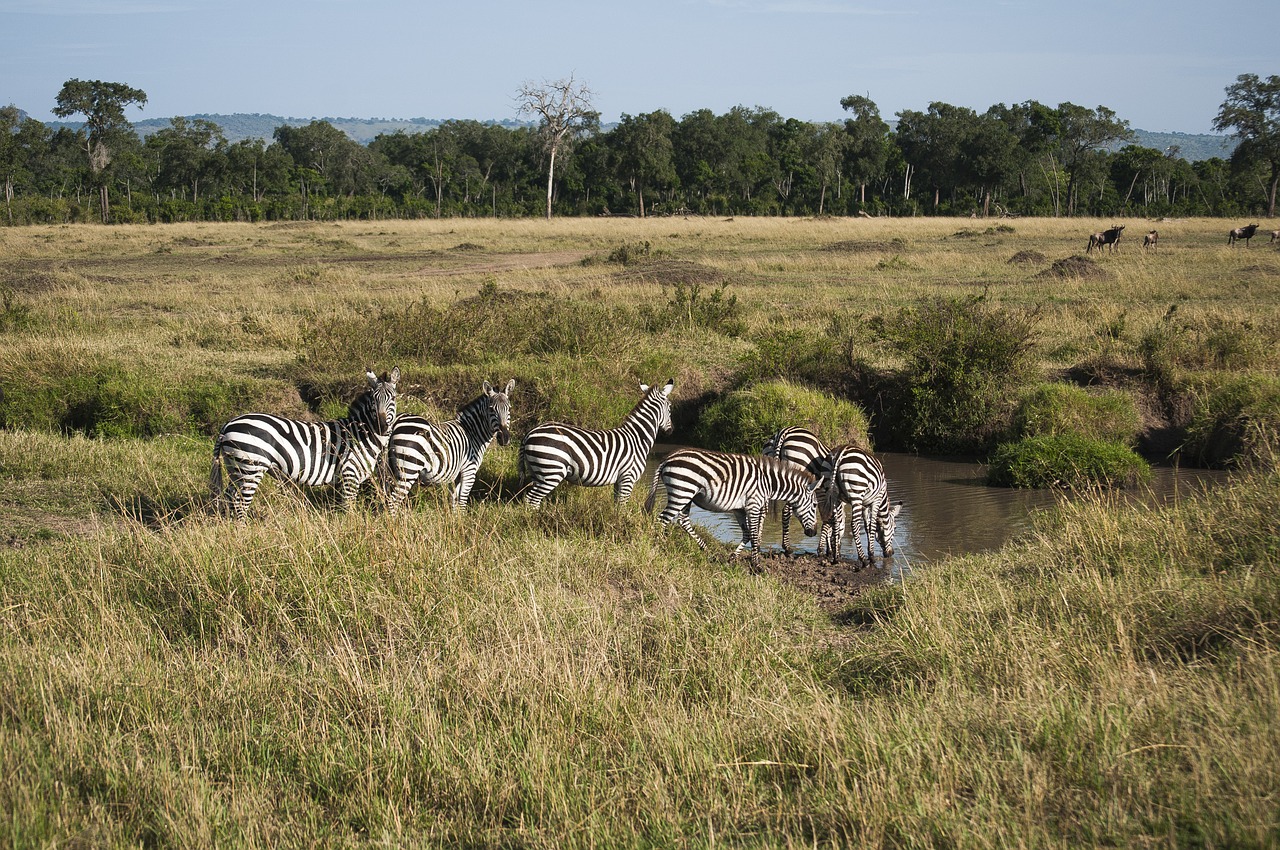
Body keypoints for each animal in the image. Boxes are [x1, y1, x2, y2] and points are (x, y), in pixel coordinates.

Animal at [209, 368, 399, 522]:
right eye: (373, 400)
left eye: (393, 398)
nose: (381, 426)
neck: (360, 433)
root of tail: (229, 423)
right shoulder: (349, 474)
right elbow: (348, 508)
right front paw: (350, 530)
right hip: (251, 467)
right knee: (240, 502)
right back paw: (243, 532)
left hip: (236, 467)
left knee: (230, 496)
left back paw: (230, 528)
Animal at [381, 381, 517, 514]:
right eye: (491, 409)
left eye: (509, 409)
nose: (504, 438)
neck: (472, 433)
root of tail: (395, 423)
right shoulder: (469, 470)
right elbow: (462, 502)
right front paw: (463, 520)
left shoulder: (456, 475)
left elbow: (454, 501)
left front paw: (455, 519)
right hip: (409, 469)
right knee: (393, 502)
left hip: (388, 472)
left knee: (386, 499)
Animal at [519, 378, 680, 512]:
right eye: (670, 407)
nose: (672, 430)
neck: (637, 437)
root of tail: (530, 432)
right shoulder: (628, 477)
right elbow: (623, 507)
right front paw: (622, 525)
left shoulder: (619, 480)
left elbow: (617, 505)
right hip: (551, 471)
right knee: (531, 499)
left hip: (538, 472)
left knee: (531, 500)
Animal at [645, 445, 824, 570]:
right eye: (815, 505)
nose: (813, 533)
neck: (769, 483)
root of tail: (667, 458)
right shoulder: (753, 505)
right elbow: (754, 535)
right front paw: (757, 566)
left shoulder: (739, 508)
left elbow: (747, 534)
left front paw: (732, 558)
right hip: (682, 492)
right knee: (662, 520)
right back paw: (659, 547)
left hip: (686, 495)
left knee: (683, 521)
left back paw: (707, 551)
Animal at [824, 440, 906, 568]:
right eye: (895, 528)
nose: (891, 553)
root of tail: (839, 453)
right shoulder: (876, 500)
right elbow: (872, 526)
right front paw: (871, 556)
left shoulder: (865, 505)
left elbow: (867, 527)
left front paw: (869, 552)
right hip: (856, 494)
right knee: (854, 524)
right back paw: (863, 560)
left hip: (834, 495)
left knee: (836, 523)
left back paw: (836, 558)